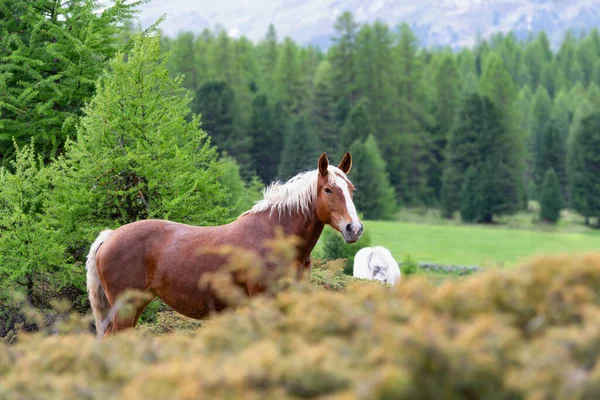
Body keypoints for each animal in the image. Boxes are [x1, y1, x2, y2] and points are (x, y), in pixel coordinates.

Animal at [86, 152, 364, 336]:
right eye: (328, 189)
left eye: (351, 189)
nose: (354, 228)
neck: (274, 237)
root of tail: (110, 235)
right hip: (125, 308)